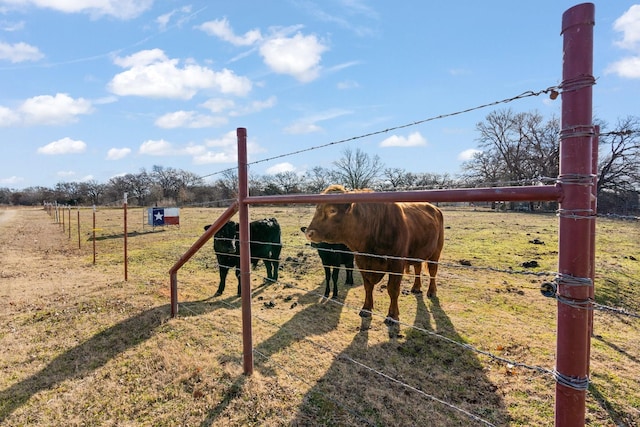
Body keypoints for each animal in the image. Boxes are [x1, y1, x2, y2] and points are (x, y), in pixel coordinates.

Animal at [304, 186, 444, 336]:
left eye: (332, 210)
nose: (309, 233)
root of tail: (434, 207)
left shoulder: (396, 264)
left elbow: (393, 290)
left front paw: (392, 316)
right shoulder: (362, 262)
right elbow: (368, 286)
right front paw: (366, 309)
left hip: (436, 251)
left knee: (433, 271)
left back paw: (431, 291)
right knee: (418, 268)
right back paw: (416, 288)